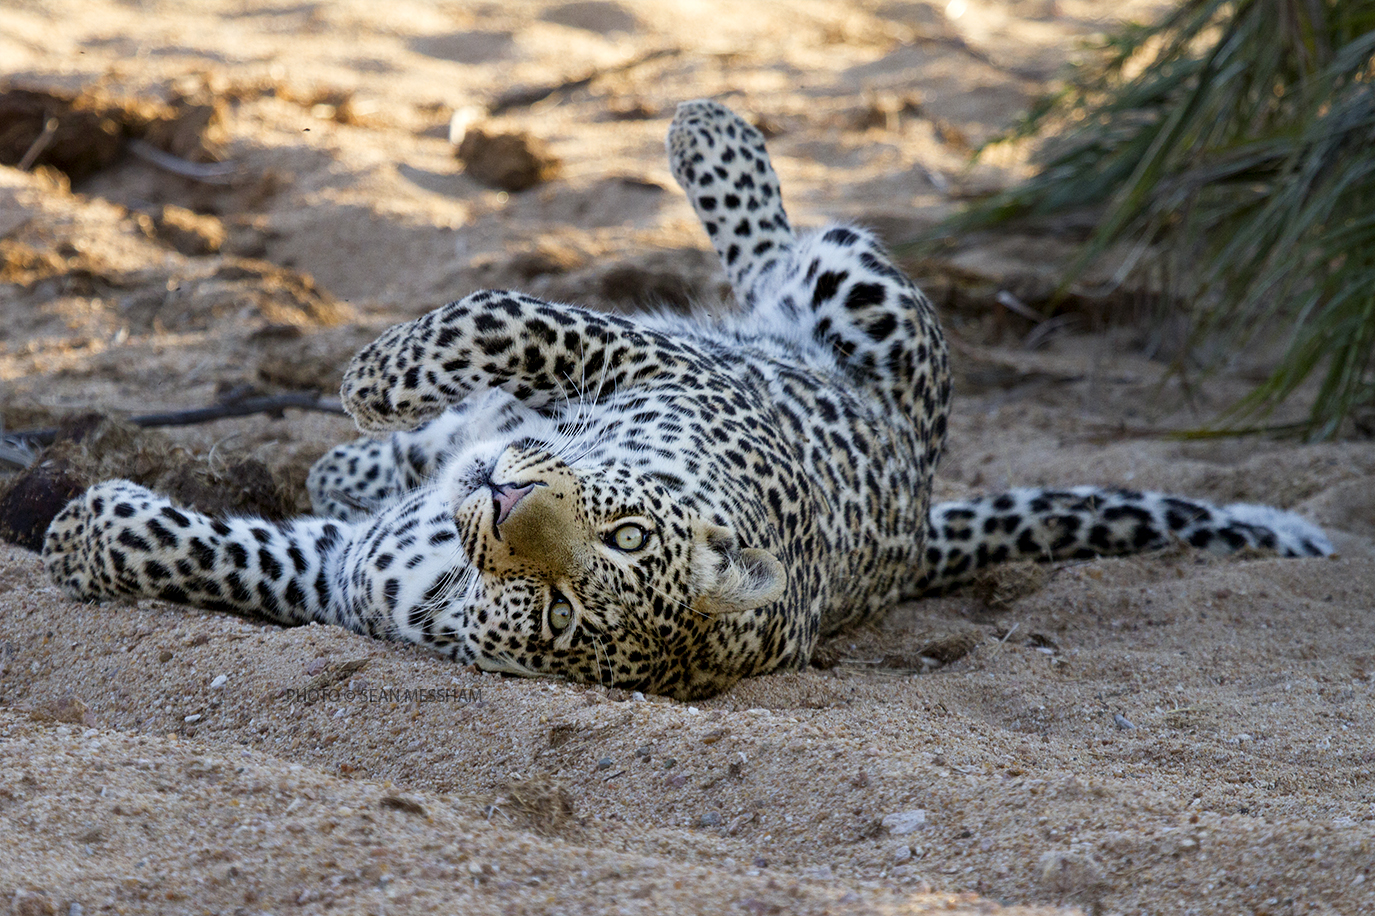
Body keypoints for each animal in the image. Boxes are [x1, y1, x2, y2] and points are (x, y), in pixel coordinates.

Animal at [42, 99, 1331, 695]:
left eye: (569, 602)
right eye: (618, 531)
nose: (500, 501)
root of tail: (919, 515)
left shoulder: (342, 575)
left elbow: (220, 556)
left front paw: (78, 531)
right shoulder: (645, 366)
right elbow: (505, 316)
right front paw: (376, 380)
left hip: (869, 307)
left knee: (784, 249)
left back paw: (705, 135)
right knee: (758, 266)